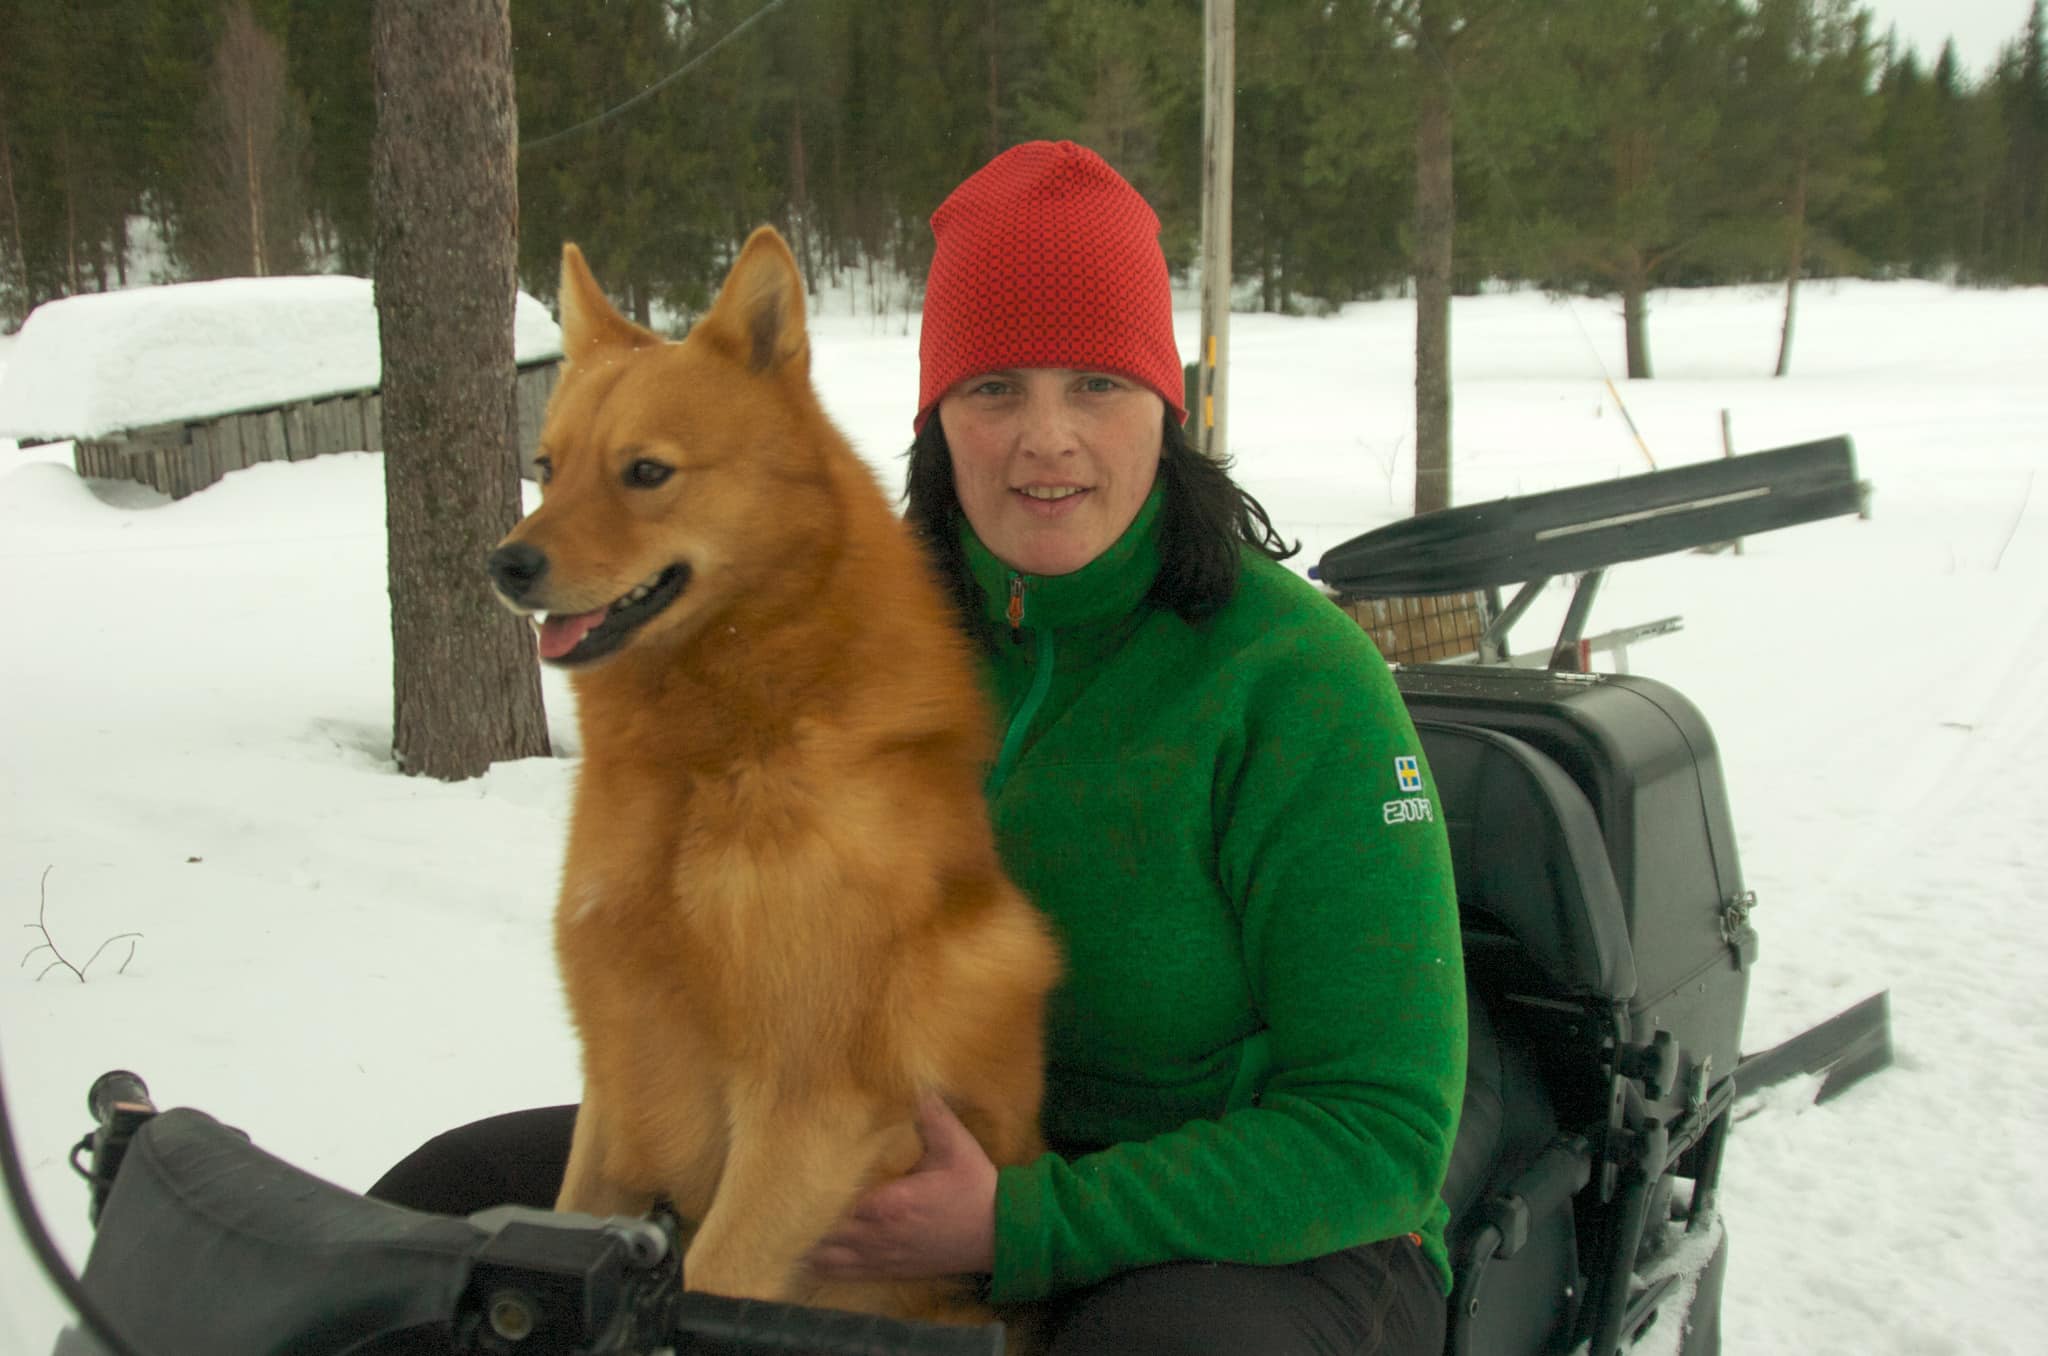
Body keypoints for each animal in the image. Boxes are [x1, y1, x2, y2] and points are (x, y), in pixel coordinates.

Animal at [481, 225, 1056, 1327]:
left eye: (647, 471)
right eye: (545, 468)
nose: (504, 566)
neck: (708, 763)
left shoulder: (807, 1114)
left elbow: (713, 1280)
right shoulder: (618, 1086)